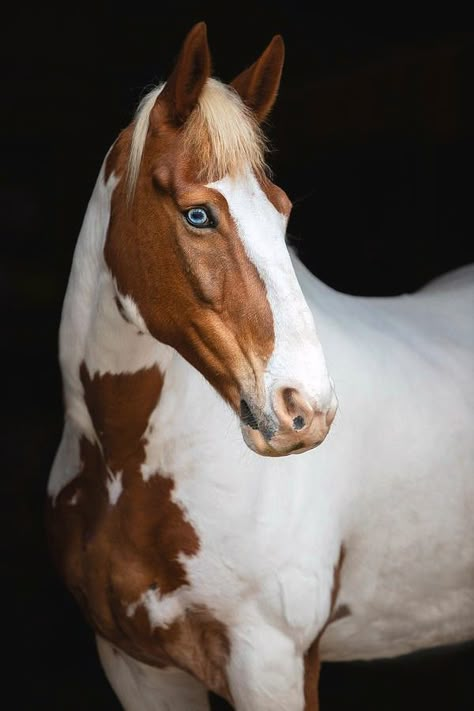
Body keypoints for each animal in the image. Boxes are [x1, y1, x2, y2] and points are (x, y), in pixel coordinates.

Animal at [47, 22, 474, 711]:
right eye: (198, 214)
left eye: (283, 210)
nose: (308, 409)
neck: (126, 464)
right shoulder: (137, 667)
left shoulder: (272, 661)